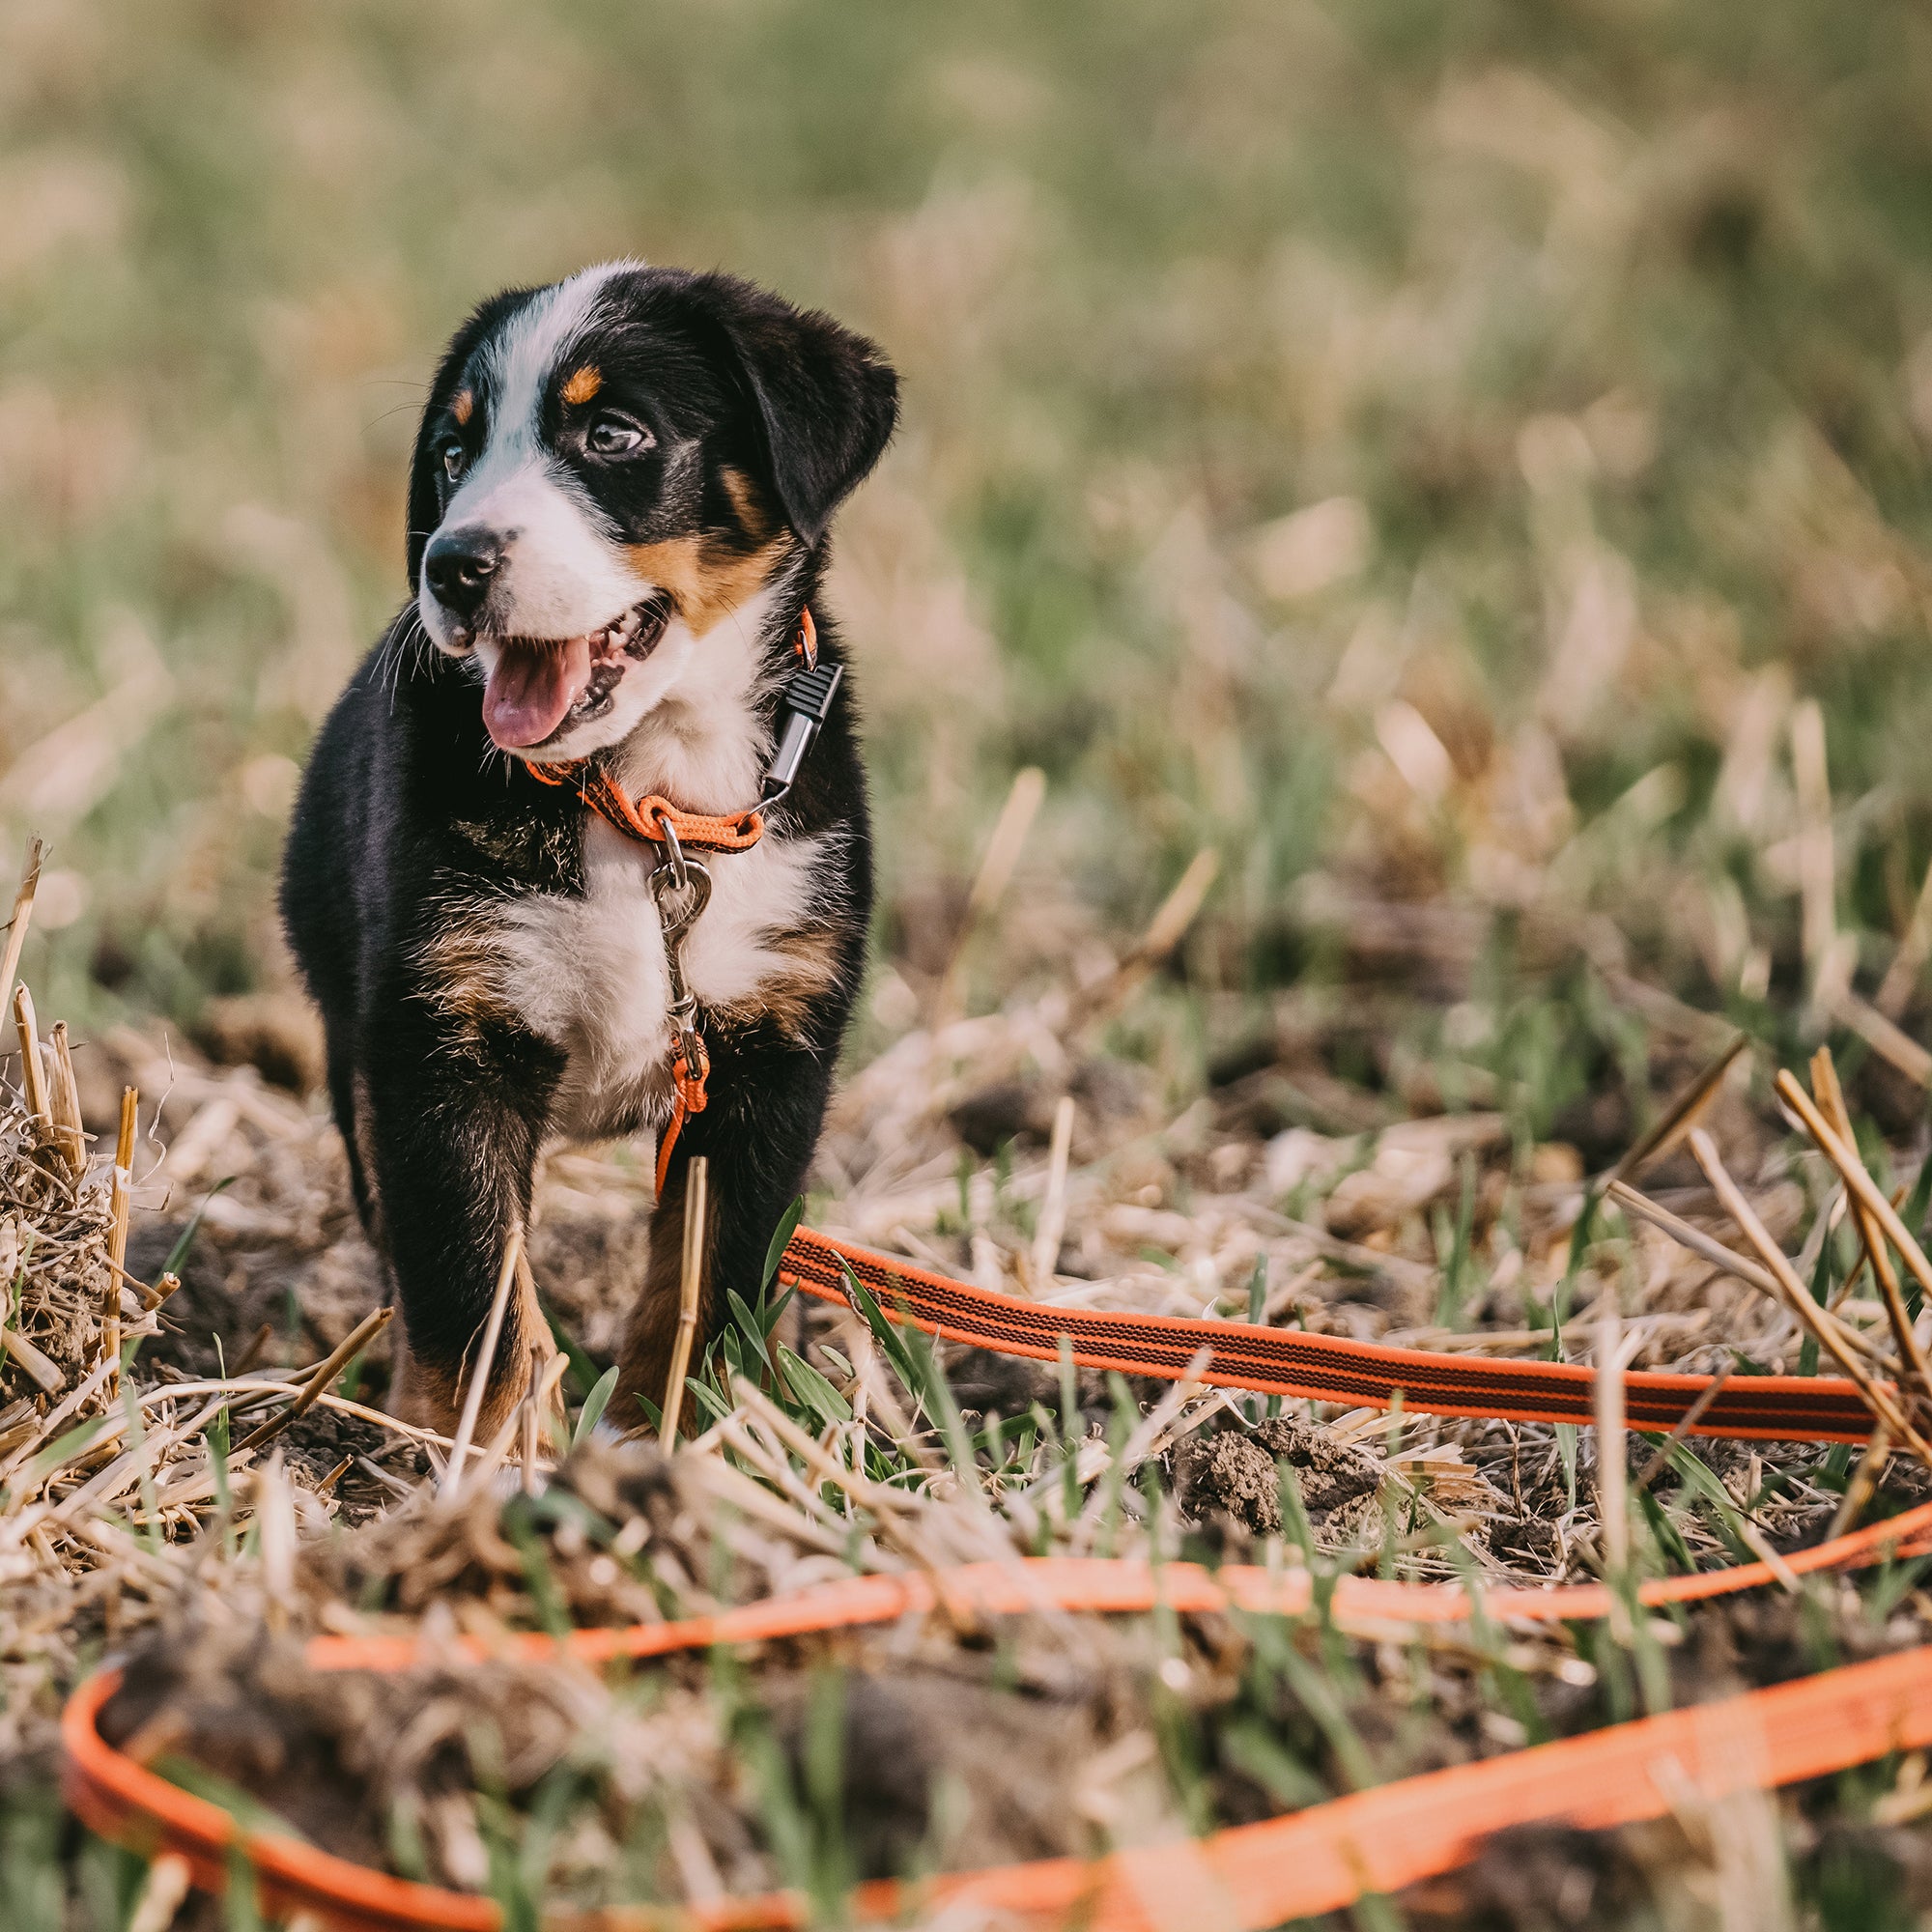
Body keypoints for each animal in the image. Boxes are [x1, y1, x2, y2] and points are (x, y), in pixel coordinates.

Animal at [282, 257, 896, 1437]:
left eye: (612, 434)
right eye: (453, 452)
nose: (453, 564)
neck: (646, 796)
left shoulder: (766, 1061)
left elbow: (708, 1277)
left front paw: (672, 1434)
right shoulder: (434, 1043)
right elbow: (470, 1280)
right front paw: (485, 1452)